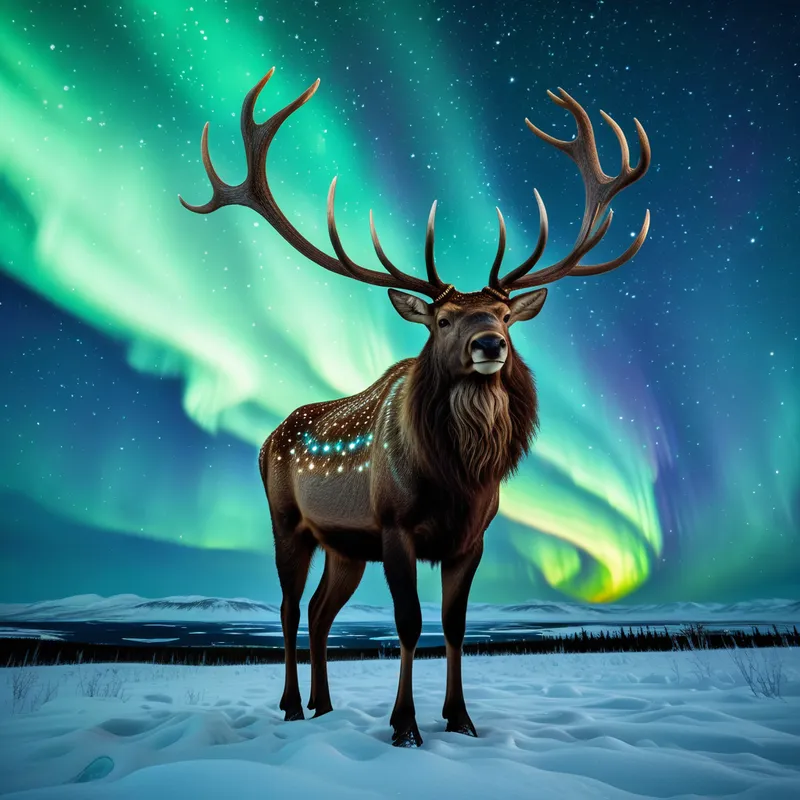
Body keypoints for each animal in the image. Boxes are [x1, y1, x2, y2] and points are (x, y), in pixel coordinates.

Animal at [179, 67, 651, 747]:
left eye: (506, 315)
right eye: (444, 318)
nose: (490, 344)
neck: (459, 478)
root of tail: (267, 439)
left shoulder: (471, 538)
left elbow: (455, 626)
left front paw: (461, 719)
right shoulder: (395, 525)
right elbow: (408, 622)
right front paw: (405, 725)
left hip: (346, 546)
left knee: (321, 612)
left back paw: (324, 705)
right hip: (288, 521)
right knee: (290, 609)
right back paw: (292, 705)